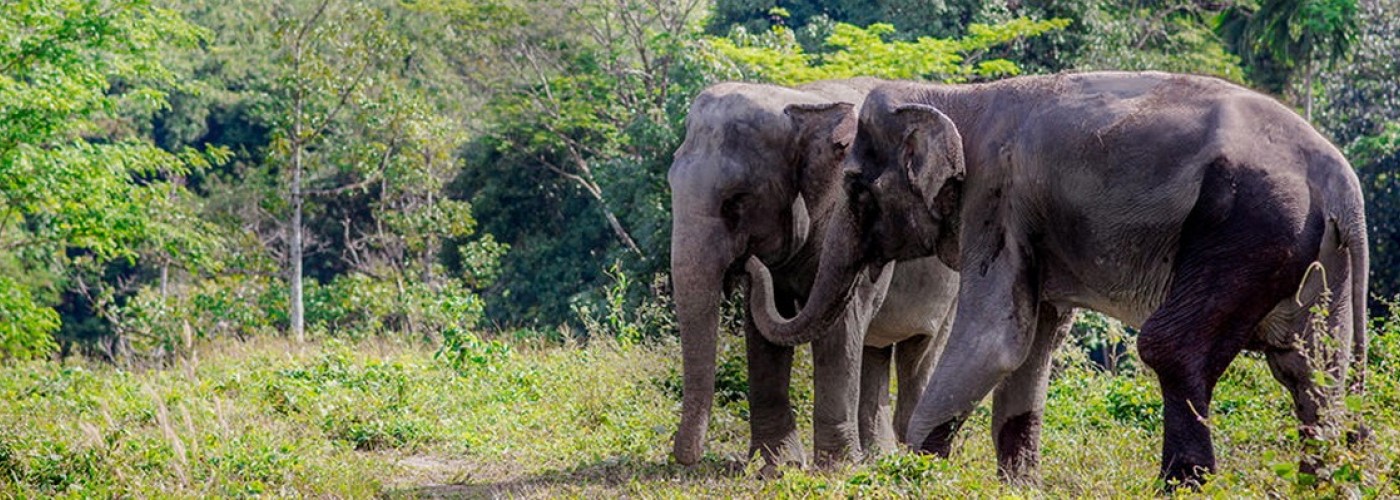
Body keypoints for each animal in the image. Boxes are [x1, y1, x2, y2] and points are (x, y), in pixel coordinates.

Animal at [669, 78, 963, 470]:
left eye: (737, 200)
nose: (686, 459)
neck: (801, 103)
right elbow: (763, 328)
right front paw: (778, 466)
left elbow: (840, 327)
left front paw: (834, 467)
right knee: (873, 352)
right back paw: (878, 456)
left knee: (918, 352)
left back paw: (916, 456)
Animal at [750, 72, 1372, 484]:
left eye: (855, 187)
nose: (754, 262)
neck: (956, 97)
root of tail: (1342, 182)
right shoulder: (1031, 227)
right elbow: (1032, 343)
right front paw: (1018, 486)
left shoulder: (996, 200)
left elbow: (996, 339)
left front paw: (917, 474)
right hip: (1313, 256)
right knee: (1311, 369)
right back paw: (1321, 481)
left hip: (1247, 227)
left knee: (1172, 346)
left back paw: (1179, 484)